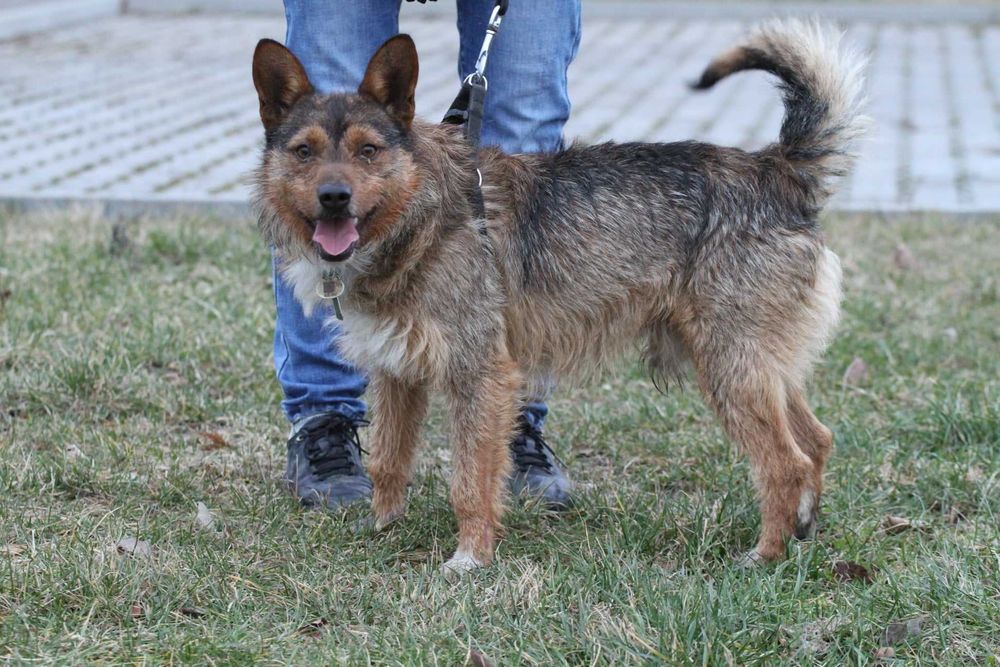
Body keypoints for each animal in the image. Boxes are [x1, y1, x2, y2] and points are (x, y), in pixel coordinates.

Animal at [252, 20, 868, 576]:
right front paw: (383, 525)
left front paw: (471, 557)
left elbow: (470, 479)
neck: (421, 214)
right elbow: (388, 461)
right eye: (304, 151)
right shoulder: (396, 371)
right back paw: (803, 530)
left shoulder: (480, 375)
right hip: (757, 367)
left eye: (369, 150)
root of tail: (777, 170)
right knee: (817, 439)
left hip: (731, 368)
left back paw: (765, 555)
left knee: (785, 462)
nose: (335, 197)